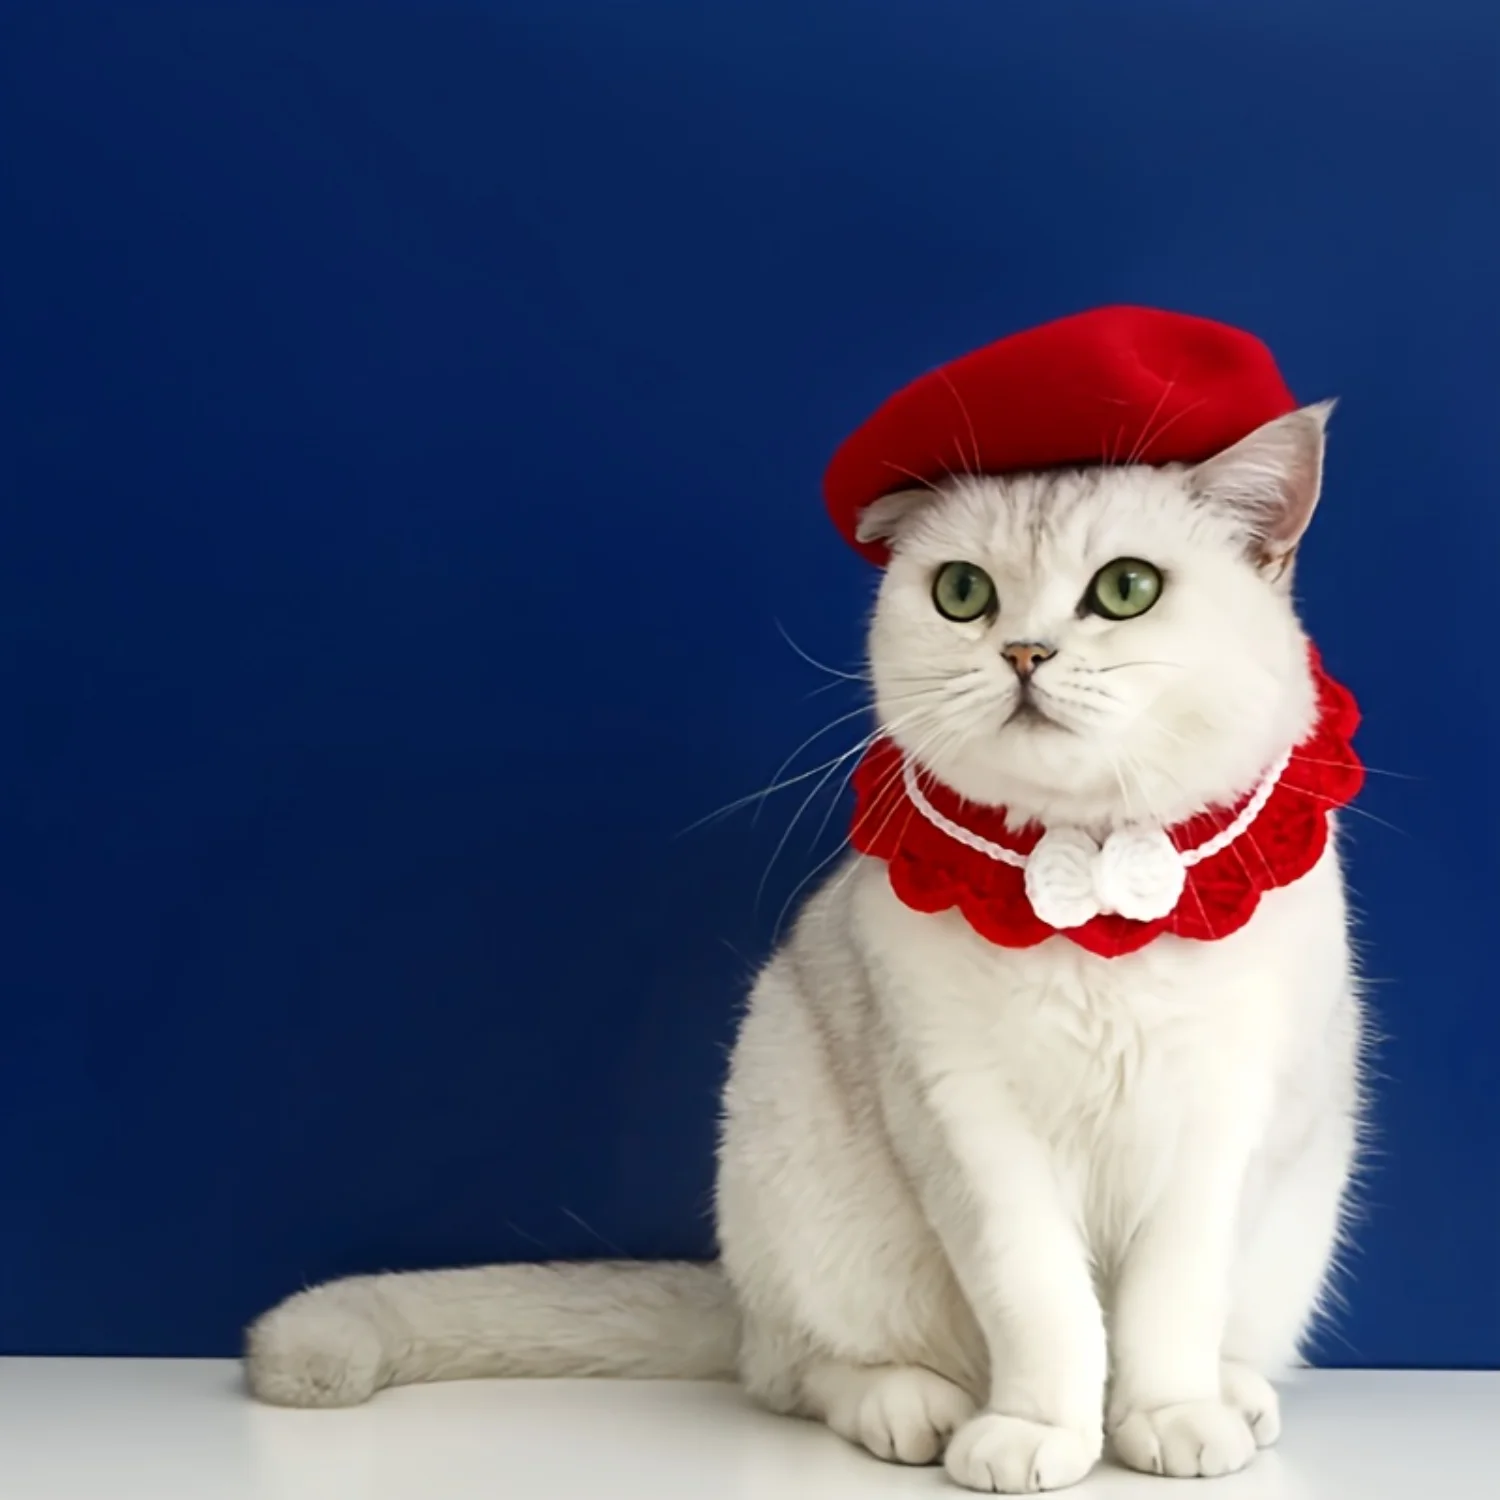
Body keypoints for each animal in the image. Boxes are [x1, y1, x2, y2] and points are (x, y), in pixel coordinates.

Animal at [249, 399, 1374, 1488]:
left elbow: (1166, 1310)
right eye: (963, 593)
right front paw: (1035, 1433)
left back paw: (1234, 1398)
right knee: (799, 1368)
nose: (1023, 653)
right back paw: (913, 1408)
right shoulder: (969, 1121)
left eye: (1127, 589)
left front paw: (1169, 1419)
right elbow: (1046, 1305)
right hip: (796, 1164)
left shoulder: (1217, 1127)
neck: (1086, 882)